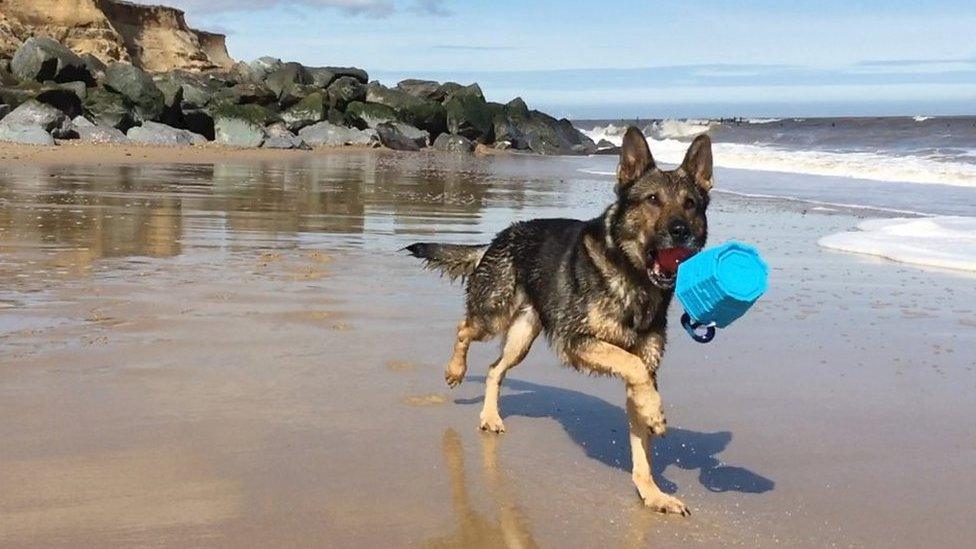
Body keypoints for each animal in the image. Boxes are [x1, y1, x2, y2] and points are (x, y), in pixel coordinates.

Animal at [408, 127, 712, 512]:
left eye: (690, 204)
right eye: (653, 200)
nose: (680, 231)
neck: (632, 279)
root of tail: (498, 238)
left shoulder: (642, 366)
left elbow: (641, 427)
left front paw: (652, 492)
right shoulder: (576, 341)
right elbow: (631, 364)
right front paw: (656, 415)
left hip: (521, 338)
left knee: (494, 369)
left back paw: (490, 416)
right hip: (494, 315)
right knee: (463, 328)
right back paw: (455, 370)